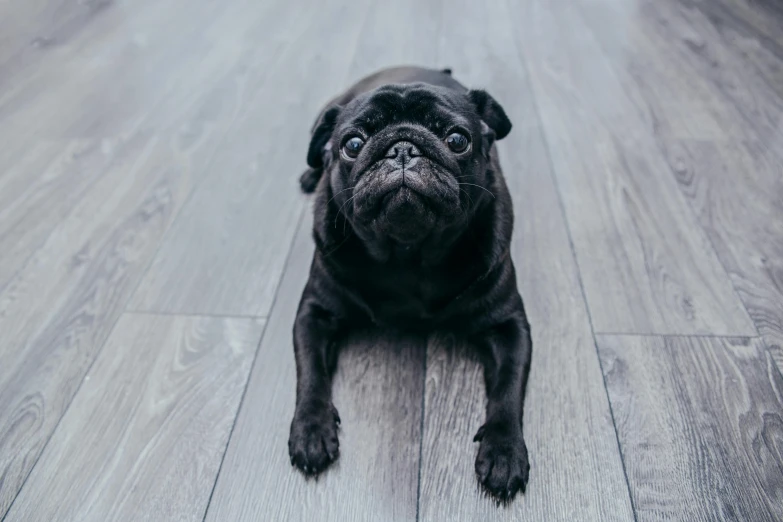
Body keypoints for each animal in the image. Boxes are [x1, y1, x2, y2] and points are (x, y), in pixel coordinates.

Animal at [288, 66, 532, 500]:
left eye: (457, 140)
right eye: (352, 144)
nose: (402, 148)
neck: (408, 252)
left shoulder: (509, 327)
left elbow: (508, 390)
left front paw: (504, 451)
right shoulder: (314, 314)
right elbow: (311, 374)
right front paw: (311, 430)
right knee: (316, 153)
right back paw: (309, 173)